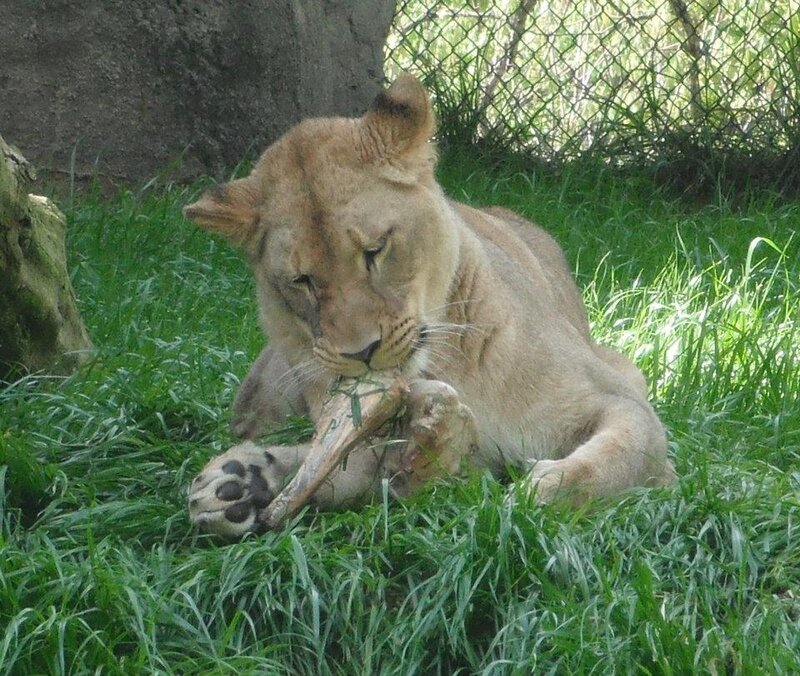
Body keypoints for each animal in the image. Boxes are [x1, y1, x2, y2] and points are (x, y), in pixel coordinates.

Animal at [183, 74, 677, 538]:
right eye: (302, 281)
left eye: (376, 250)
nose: (361, 353)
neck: (444, 369)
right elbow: (350, 467)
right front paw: (248, 483)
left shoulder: (621, 401)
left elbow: (617, 457)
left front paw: (535, 498)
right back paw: (238, 484)